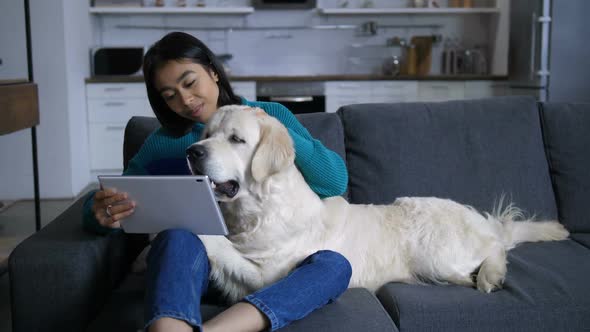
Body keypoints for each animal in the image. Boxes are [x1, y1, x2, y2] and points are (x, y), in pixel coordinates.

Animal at [186, 105, 572, 304]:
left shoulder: (268, 276)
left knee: (496, 247)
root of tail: (476, 219)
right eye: (206, 134)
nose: (192, 152)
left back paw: (490, 276)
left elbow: (218, 244)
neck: (260, 210)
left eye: (236, 139)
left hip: (434, 252)